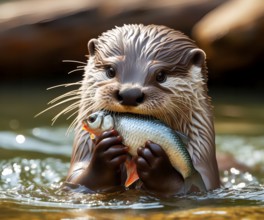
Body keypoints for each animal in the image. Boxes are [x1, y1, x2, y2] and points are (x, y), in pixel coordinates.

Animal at [63, 24, 219, 196]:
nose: (129, 94)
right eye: (110, 71)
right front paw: (105, 150)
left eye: (161, 75)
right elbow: (76, 179)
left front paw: (157, 165)